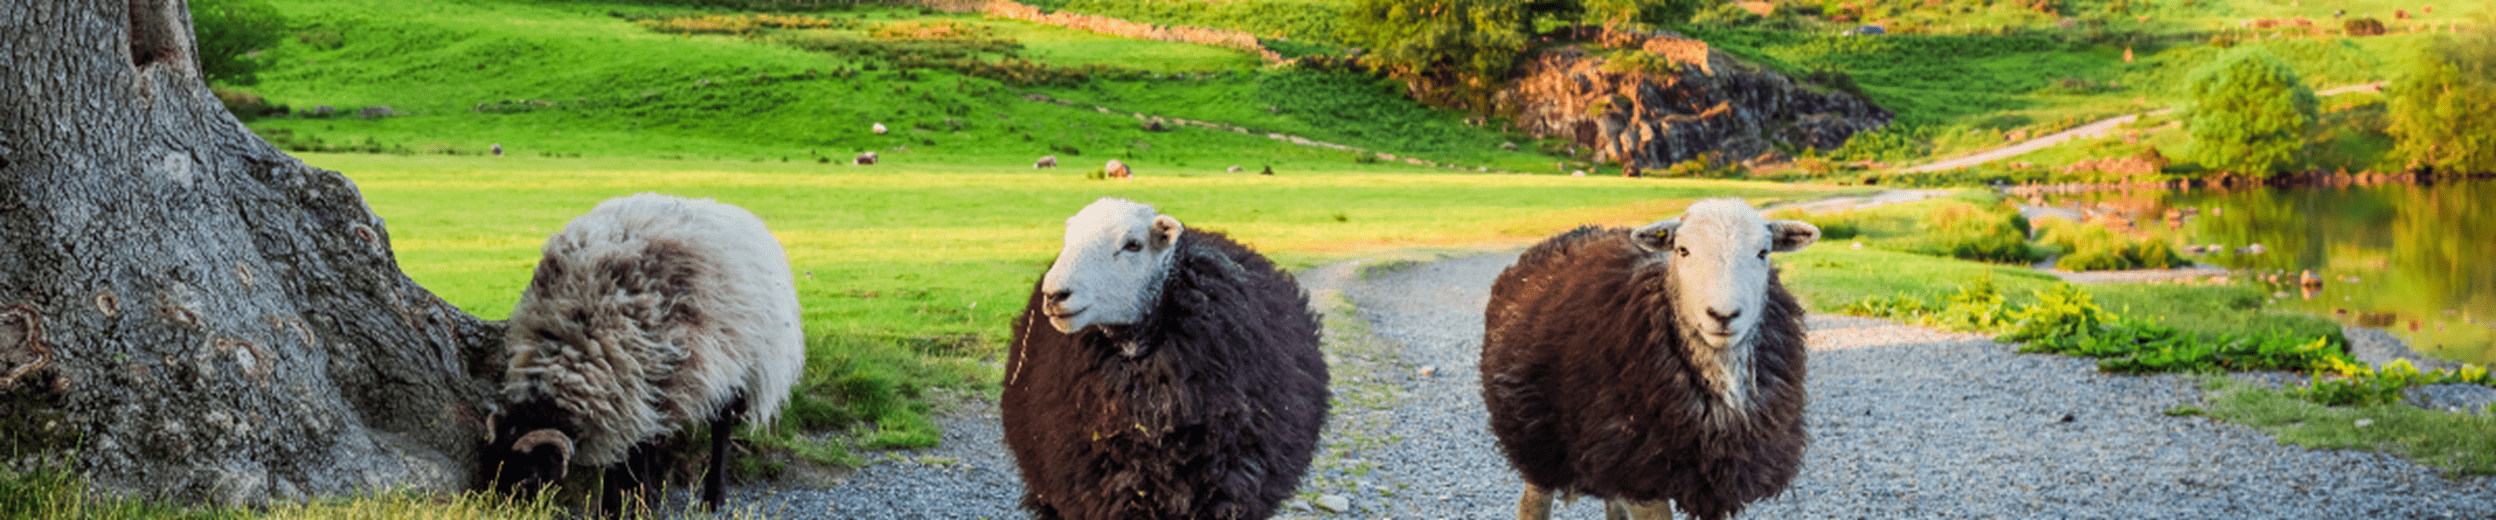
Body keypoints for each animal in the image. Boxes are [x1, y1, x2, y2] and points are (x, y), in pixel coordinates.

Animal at [484, 192, 798, 515]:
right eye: (492, 465)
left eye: (530, 474)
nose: (500, 511)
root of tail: (744, 217)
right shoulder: (624, 391)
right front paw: (627, 499)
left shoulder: (643, 381)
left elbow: (635, 446)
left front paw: (635, 501)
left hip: (734, 363)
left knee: (720, 428)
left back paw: (712, 496)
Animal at [1477, 197, 1817, 517]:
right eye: (1682, 250)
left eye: (1763, 252)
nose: (1723, 315)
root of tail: (1576, 231)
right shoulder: (1641, 472)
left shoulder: (1722, 477)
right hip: (1536, 437)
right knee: (1532, 503)